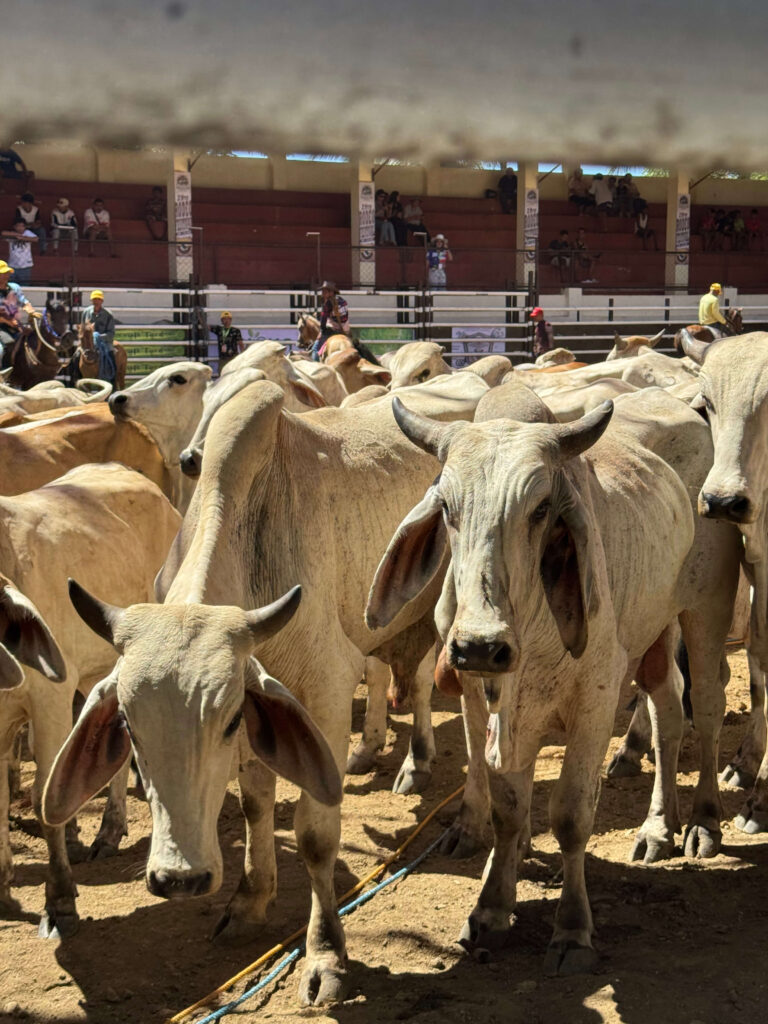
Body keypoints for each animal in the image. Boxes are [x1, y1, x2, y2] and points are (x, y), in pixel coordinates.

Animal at [365, 383, 739, 974]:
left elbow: (569, 816)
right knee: (667, 716)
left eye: (541, 508)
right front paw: (491, 907)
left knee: (704, 708)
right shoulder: (482, 701)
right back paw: (658, 828)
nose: (480, 645)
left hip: (706, 610)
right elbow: (507, 809)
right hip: (654, 634)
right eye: (447, 507)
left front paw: (572, 929)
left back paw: (702, 822)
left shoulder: (596, 701)